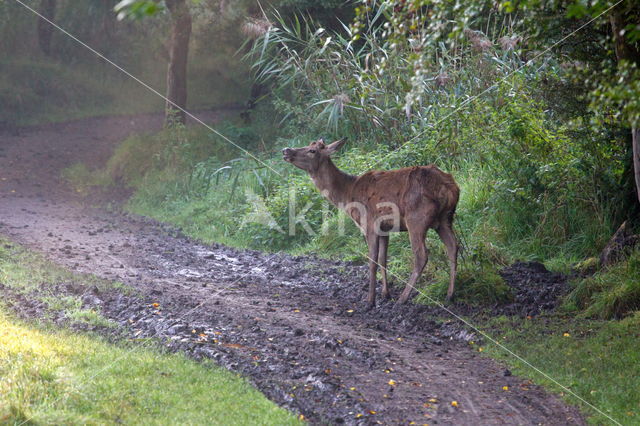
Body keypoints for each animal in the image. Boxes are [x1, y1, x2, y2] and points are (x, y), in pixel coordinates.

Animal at [282, 138, 460, 308]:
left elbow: (372, 260)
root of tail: (450, 188)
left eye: (312, 150)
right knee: (453, 247)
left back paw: (403, 299)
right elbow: (383, 259)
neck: (347, 195)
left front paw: (370, 301)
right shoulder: (385, 228)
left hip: (416, 218)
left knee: (421, 255)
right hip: (445, 219)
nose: (286, 150)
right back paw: (449, 295)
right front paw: (385, 294)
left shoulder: (369, 224)